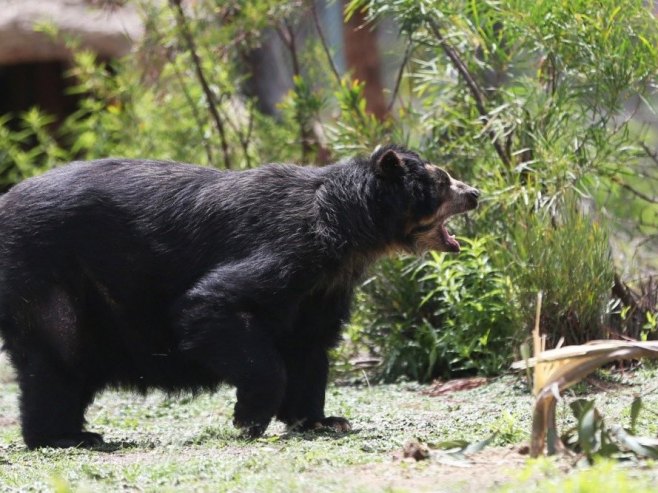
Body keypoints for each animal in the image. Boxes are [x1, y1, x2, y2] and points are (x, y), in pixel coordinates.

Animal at [0, 144, 476, 448]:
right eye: (442, 181)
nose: (475, 193)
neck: (347, 236)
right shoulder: (288, 250)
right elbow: (212, 305)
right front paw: (248, 419)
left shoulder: (321, 289)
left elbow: (308, 348)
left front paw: (322, 421)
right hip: (47, 277)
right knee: (57, 357)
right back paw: (62, 436)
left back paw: (74, 433)